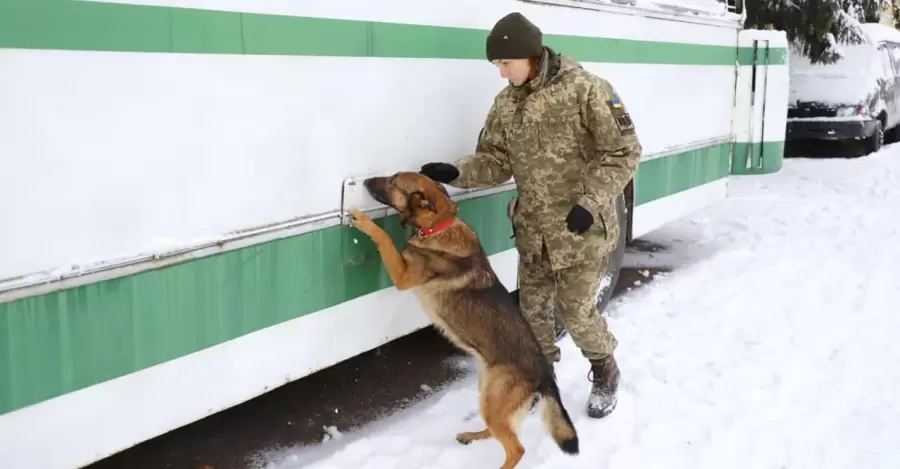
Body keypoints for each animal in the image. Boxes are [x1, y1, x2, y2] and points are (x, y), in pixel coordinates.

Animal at [348, 172, 580, 468]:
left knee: (516, 448)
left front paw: (365, 222)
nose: (365, 181)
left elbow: (385, 238)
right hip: (487, 393)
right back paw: (472, 435)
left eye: (393, 181)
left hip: (494, 400)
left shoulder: (403, 276)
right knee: (499, 431)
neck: (438, 225)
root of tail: (544, 373)